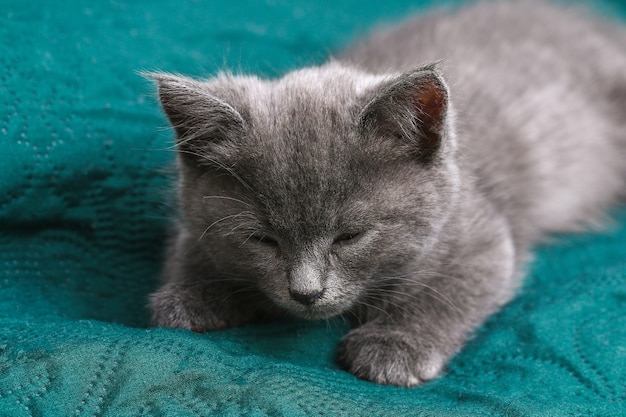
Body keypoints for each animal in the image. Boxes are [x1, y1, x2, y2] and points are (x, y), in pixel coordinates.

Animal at [147, 0, 624, 386]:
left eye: (350, 237)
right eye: (262, 239)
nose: (306, 293)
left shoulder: (483, 235)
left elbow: (456, 289)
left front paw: (396, 344)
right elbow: (193, 248)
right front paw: (189, 294)